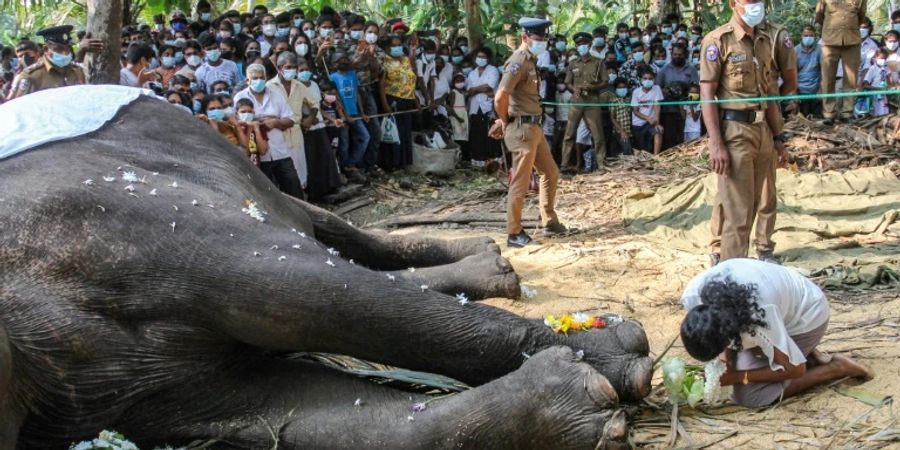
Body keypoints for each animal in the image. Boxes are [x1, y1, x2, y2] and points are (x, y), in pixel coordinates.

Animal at [0, 86, 652, 448]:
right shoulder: (106, 396)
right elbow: (314, 419)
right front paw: (586, 406)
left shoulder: (115, 217)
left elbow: (308, 291)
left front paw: (622, 356)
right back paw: (492, 265)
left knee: (331, 237)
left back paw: (491, 259)